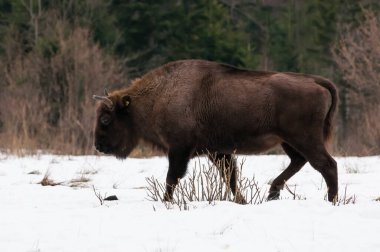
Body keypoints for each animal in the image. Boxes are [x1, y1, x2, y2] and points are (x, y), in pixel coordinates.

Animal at [93, 59, 338, 203]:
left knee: (326, 164)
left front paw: (166, 201)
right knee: (299, 161)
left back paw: (331, 200)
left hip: (303, 138)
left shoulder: (179, 150)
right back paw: (272, 193)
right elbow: (230, 177)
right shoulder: (218, 152)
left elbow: (172, 176)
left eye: (105, 119)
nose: (98, 145)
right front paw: (241, 201)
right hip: (289, 141)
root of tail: (316, 81)